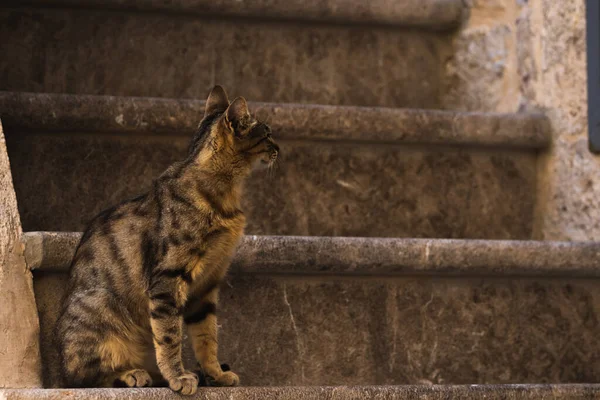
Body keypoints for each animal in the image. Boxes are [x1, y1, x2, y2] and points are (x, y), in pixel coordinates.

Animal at [54, 86, 278, 396]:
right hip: (100, 309)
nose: (279, 148)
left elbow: (207, 337)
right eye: (267, 134)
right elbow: (170, 337)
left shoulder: (206, 286)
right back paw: (132, 374)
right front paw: (178, 377)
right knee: (83, 378)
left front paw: (216, 375)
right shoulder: (168, 279)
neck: (225, 194)